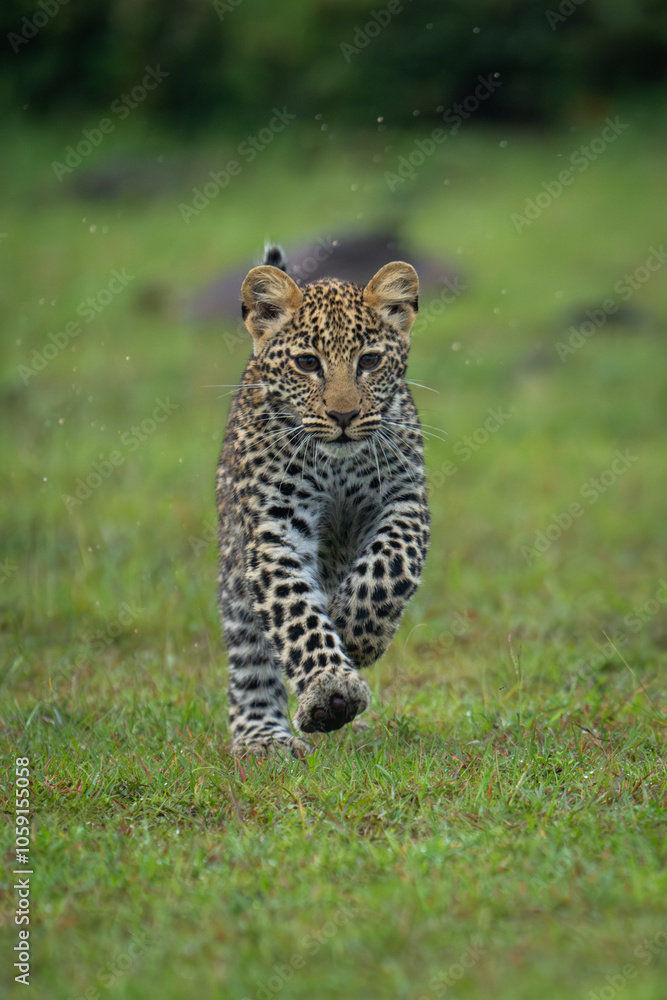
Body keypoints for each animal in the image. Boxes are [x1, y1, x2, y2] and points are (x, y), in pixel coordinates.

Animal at [216, 245, 430, 756]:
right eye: (307, 364)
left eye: (369, 361)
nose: (344, 415)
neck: (338, 467)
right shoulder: (275, 530)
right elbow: (296, 612)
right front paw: (332, 690)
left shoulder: (404, 502)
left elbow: (389, 566)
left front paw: (356, 632)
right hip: (234, 570)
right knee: (251, 653)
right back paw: (263, 737)